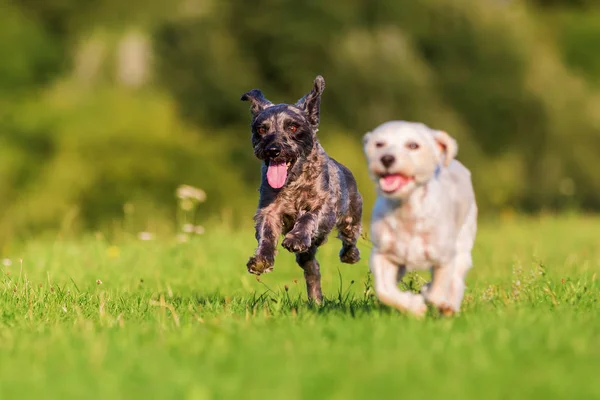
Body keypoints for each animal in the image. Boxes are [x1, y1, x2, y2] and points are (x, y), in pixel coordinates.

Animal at [239, 75, 360, 302]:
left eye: (293, 128)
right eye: (261, 129)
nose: (273, 149)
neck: (292, 183)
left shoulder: (322, 205)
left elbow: (308, 217)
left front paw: (295, 238)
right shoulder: (269, 210)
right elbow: (267, 234)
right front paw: (261, 260)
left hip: (352, 215)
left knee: (349, 237)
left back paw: (350, 255)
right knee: (313, 270)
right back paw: (316, 300)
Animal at [364, 120, 476, 318]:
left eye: (413, 145)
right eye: (379, 144)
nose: (386, 158)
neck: (407, 208)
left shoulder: (444, 256)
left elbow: (437, 291)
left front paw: (434, 298)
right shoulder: (383, 253)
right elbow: (384, 291)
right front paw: (414, 306)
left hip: (463, 243)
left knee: (456, 278)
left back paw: (449, 305)